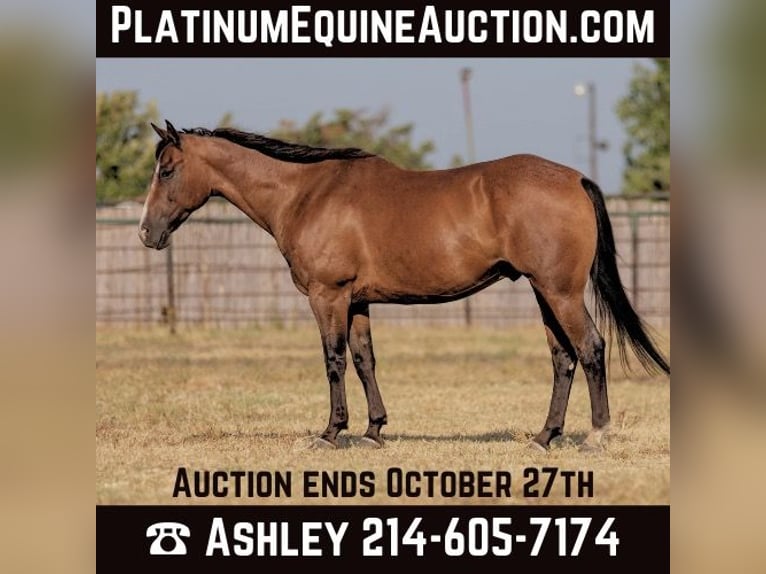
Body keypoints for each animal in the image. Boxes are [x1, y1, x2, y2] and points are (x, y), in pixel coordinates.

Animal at [139, 120, 669, 451]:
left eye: (167, 170)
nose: (146, 232)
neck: (306, 194)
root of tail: (575, 178)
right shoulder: (355, 302)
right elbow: (363, 360)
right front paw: (374, 430)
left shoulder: (328, 296)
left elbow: (333, 362)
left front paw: (330, 433)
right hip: (544, 293)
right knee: (563, 359)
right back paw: (544, 438)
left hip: (560, 292)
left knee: (591, 349)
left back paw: (596, 435)